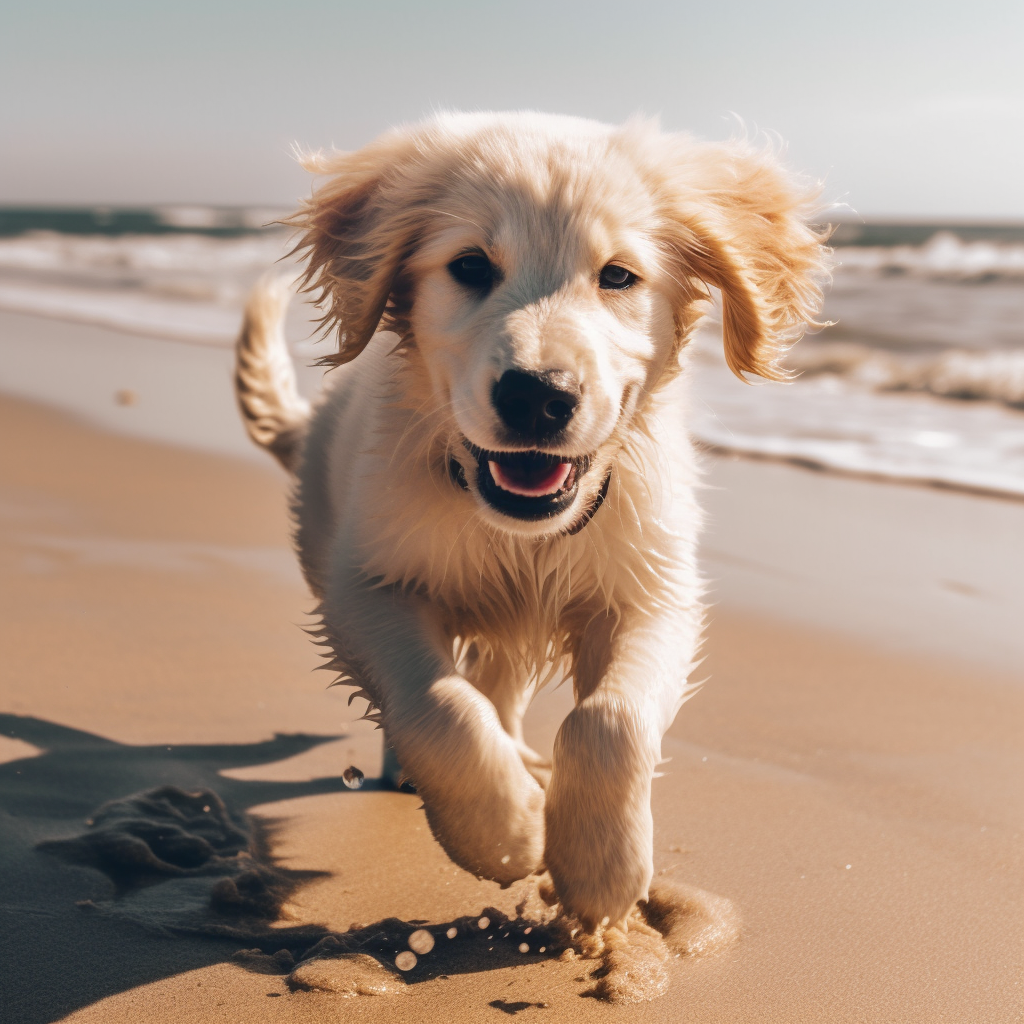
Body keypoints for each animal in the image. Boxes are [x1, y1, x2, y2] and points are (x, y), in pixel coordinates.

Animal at [235, 112, 827, 929]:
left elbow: (609, 721)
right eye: (470, 267)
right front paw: (503, 832)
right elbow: (439, 704)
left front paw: (599, 867)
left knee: (504, 686)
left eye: (618, 276)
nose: (537, 397)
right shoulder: (365, 587)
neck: (525, 531)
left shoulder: (651, 593)